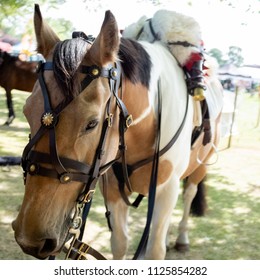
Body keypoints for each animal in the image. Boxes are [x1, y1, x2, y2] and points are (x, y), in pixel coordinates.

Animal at [12, 4, 222, 260]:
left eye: (92, 123)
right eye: (26, 112)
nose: (29, 239)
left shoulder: (167, 189)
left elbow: (155, 250)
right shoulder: (111, 187)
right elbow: (120, 243)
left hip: (200, 167)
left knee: (189, 194)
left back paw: (182, 238)